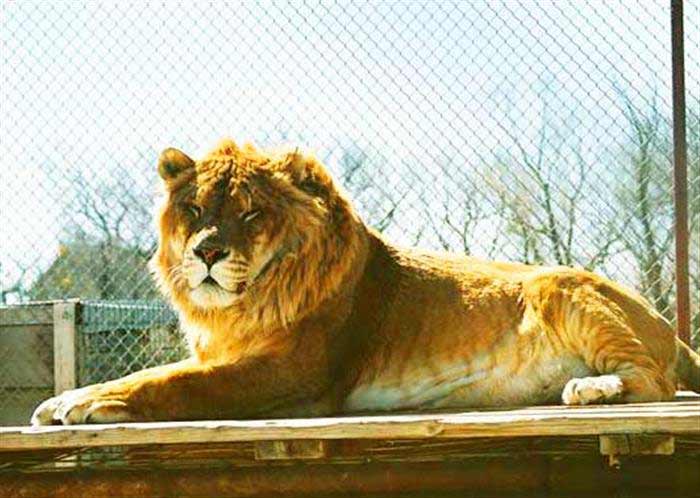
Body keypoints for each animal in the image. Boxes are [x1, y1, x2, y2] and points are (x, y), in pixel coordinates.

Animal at [31, 140, 700, 424]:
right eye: (194, 210)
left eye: (251, 213)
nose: (207, 252)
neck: (242, 306)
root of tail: (666, 324)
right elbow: (159, 371)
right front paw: (74, 397)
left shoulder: (296, 373)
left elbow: (179, 384)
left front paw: (88, 404)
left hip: (561, 286)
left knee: (659, 381)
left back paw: (593, 389)